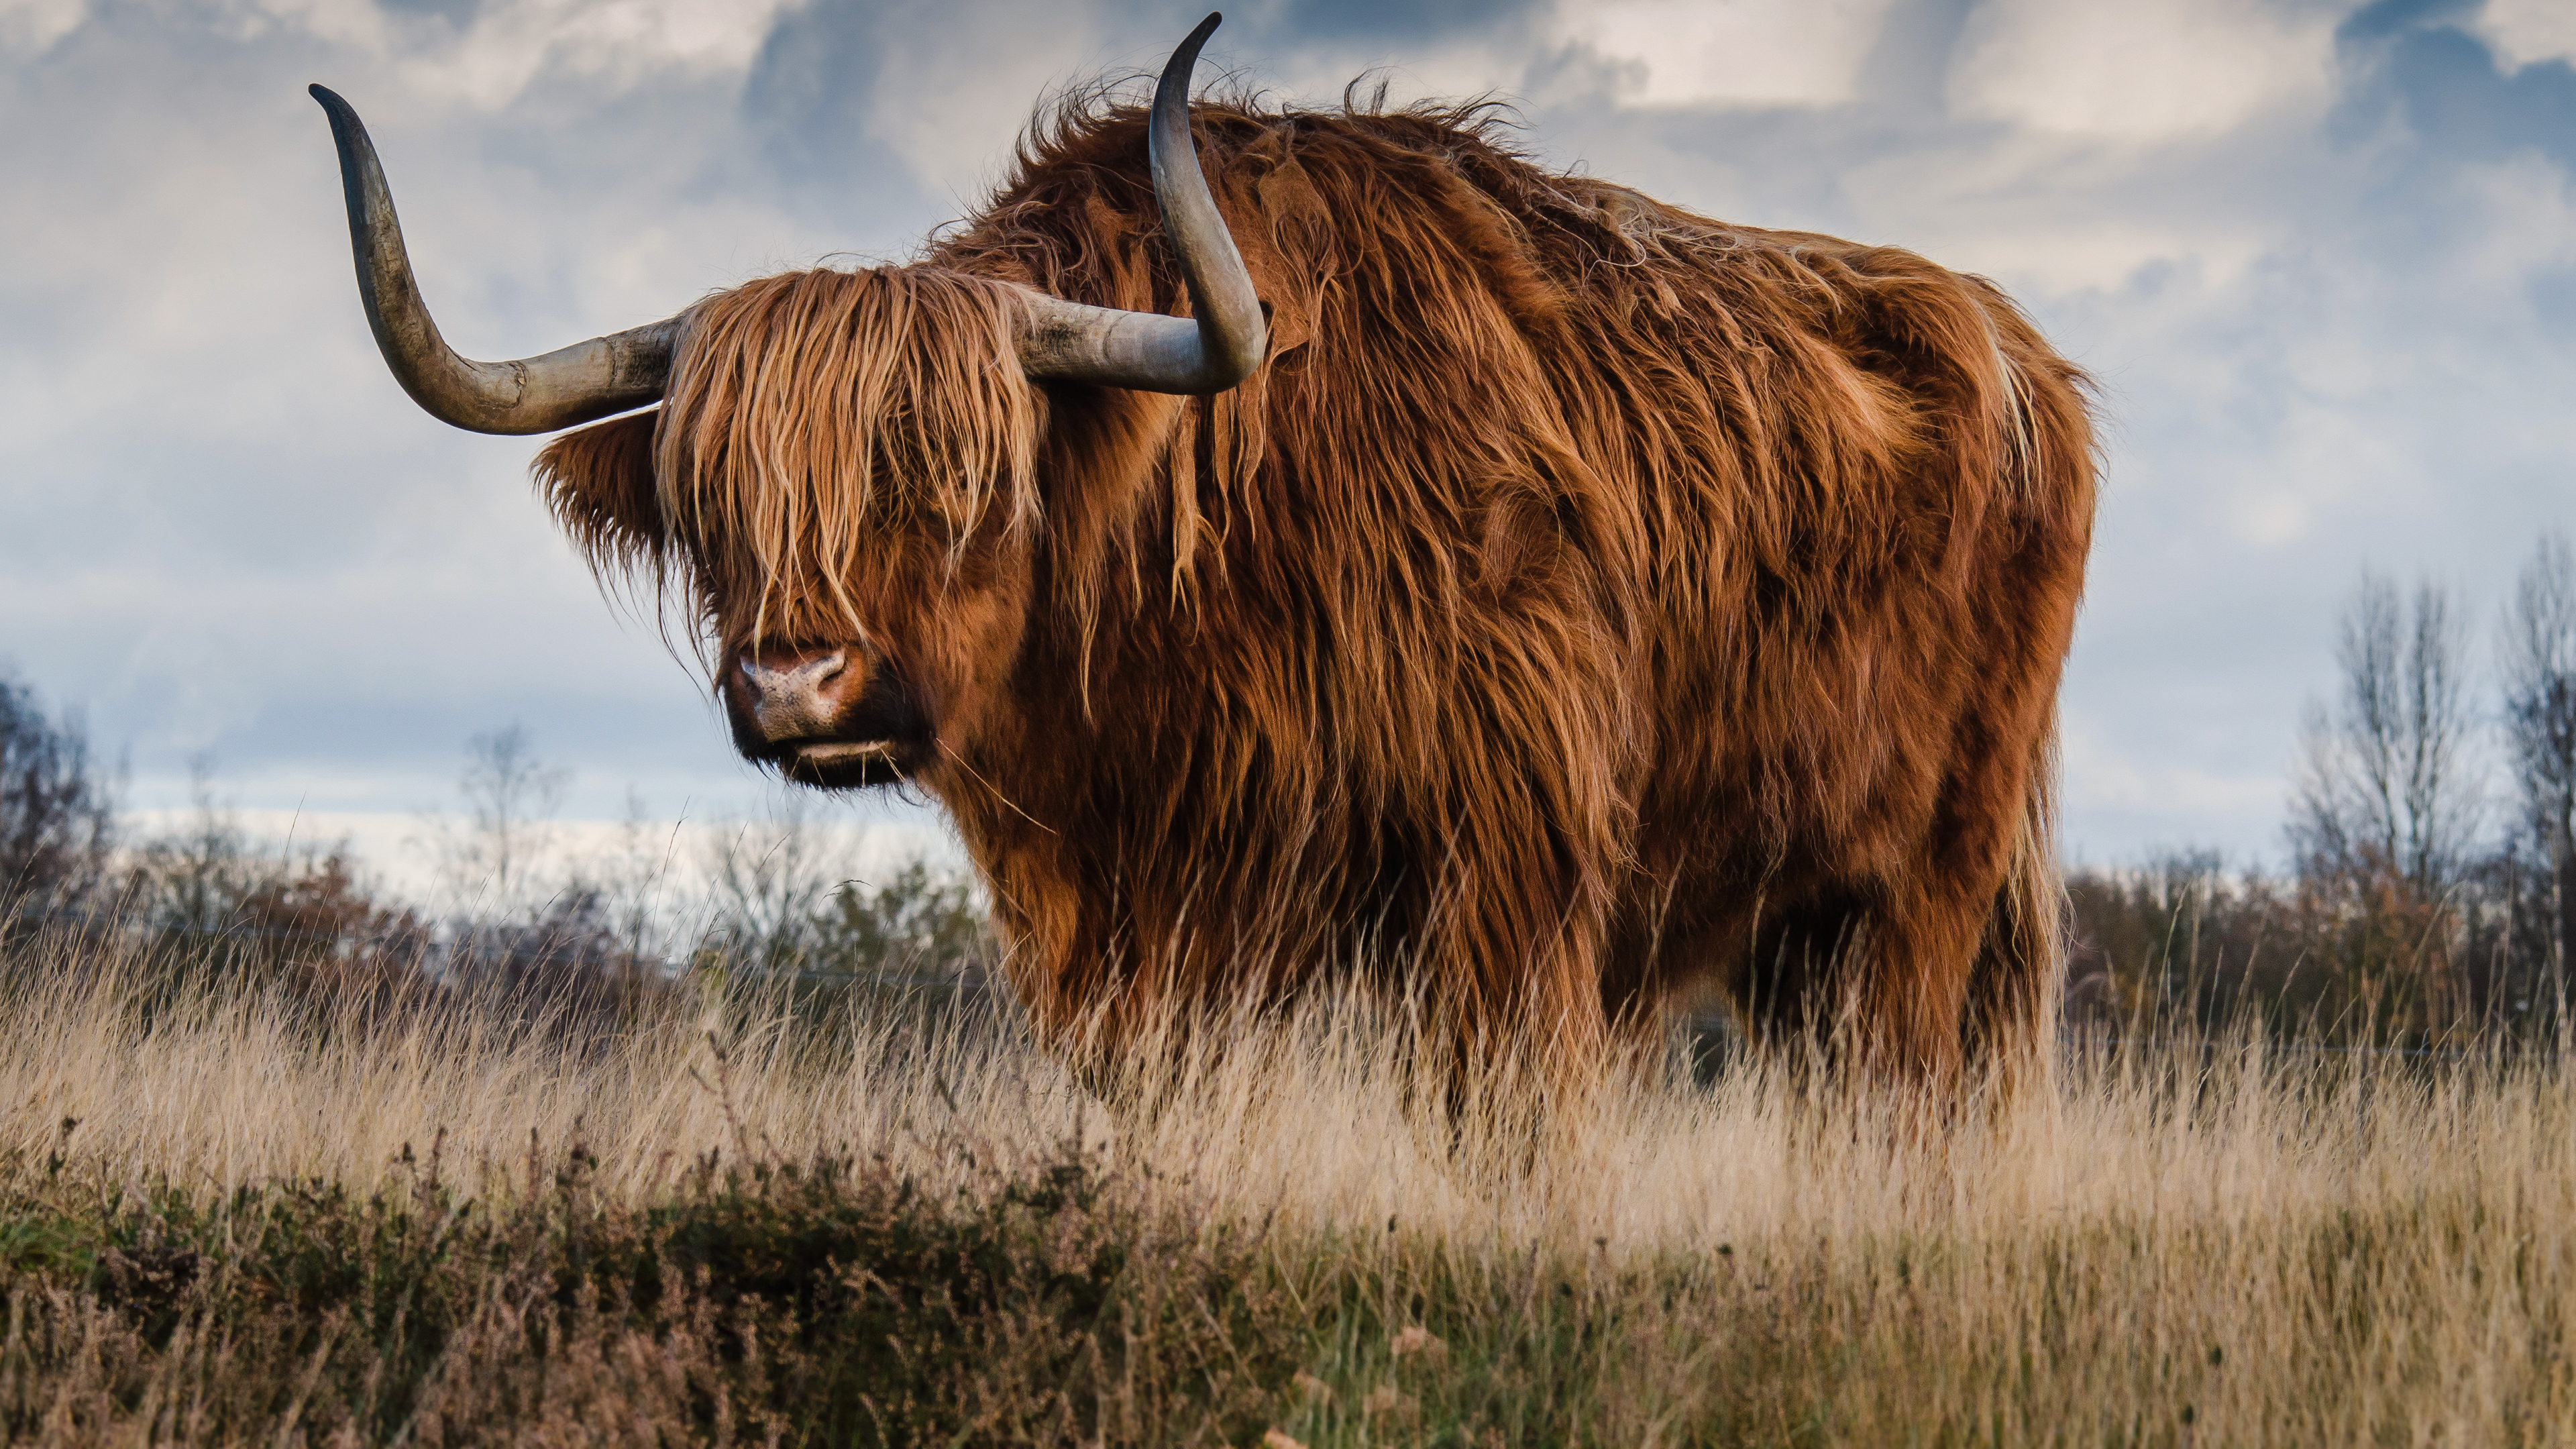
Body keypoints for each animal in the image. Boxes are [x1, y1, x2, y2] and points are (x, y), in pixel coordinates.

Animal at [312, 14, 2096, 1094]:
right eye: (711, 503)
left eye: (963, 476)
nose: (794, 682)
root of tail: (2019, 350)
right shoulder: (1143, 925)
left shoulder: (1512, 870)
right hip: (1804, 917)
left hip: (1929, 879)